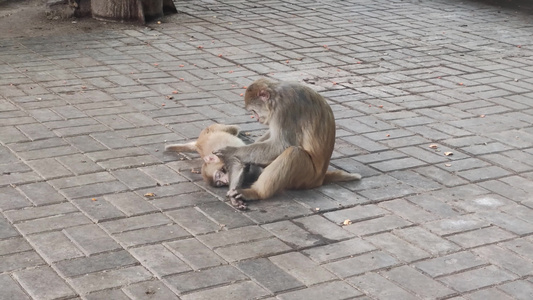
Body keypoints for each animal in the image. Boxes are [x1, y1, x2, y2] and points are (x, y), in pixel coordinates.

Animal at [214, 78, 360, 209]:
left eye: (254, 111)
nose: (257, 118)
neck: (276, 96)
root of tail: (320, 177)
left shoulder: (285, 109)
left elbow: (281, 145)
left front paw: (230, 152)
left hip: (307, 177)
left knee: (294, 153)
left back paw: (256, 192)